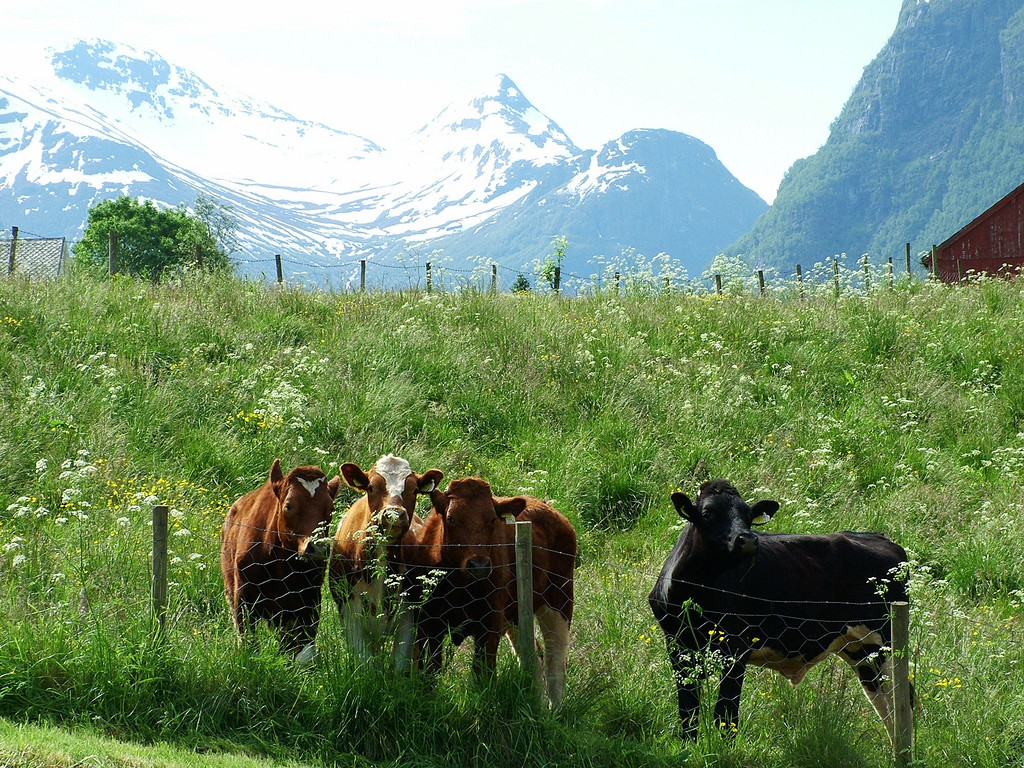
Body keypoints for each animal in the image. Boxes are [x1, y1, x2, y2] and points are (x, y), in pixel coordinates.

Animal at [219, 460, 339, 663]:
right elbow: (248, 642)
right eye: (289, 505)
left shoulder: (310, 600)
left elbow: (304, 651)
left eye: (331, 509)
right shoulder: (242, 596)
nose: (317, 547)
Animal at [327, 454, 440, 663]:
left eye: (414, 490)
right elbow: (366, 663)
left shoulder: (408, 616)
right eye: (371, 487)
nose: (394, 513)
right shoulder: (349, 615)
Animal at [411, 481, 581, 708]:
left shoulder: (489, 628)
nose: (479, 564)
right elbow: (429, 673)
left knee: (556, 658)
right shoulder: (428, 625)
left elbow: (483, 675)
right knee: (531, 654)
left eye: (492, 519)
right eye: (451, 518)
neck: (460, 586)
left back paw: (555, 710)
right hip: (516, 614)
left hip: (559, 599)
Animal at [651, 483, 909, 741]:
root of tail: (881, 537)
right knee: (884, 704)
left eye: (748, 516)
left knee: (903, 700)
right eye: (707, 513)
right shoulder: (677, 647)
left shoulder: (736, 649)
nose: (748, 540)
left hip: (887, 643)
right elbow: (688, 710)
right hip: (861, 651)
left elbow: (726, 713)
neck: (694, 592)